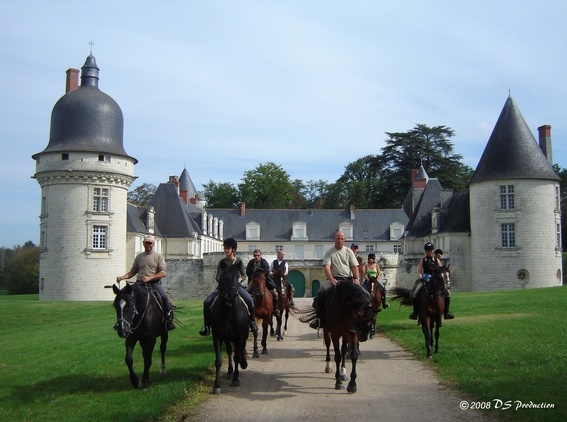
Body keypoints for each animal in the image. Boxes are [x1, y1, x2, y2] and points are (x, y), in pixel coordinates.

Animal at [210, 258, 250, 394]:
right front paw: (216, 385)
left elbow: (237, 356)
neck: (228, 313)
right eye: (223, 277)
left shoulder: (239, 336)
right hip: (227, 338)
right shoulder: (217, 337)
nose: (232, 295)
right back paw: (229, 371)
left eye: (238, 276)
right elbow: (218, 361)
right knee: (229, 351)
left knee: (239, 350)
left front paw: (236, 379)